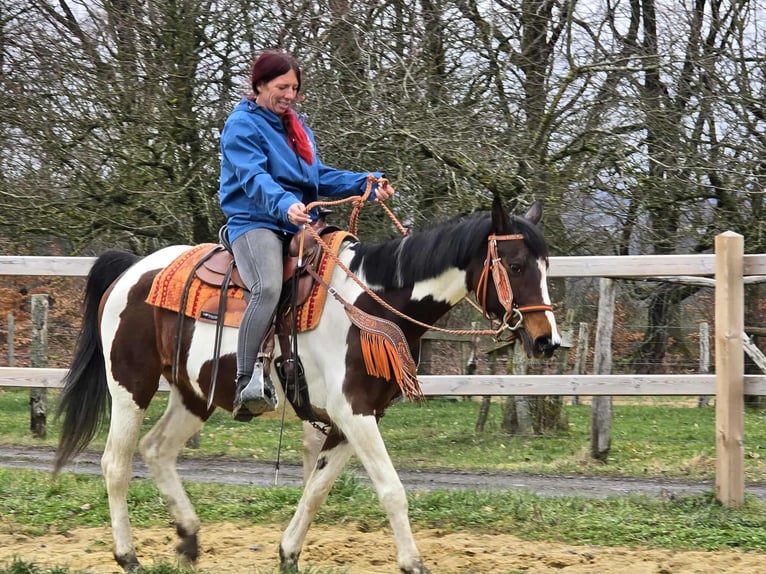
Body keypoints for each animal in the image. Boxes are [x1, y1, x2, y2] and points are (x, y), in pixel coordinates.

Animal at [53, 196, 560, 574]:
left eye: (546, 266)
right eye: (516, 265)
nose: (546, 341)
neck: (369, 305)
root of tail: (131, 270)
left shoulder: (353, 419)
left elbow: (317, 488)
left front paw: (288, 553)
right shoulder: (354, 413)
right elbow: (391, 489)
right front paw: (413, 563)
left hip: (195, 394)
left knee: (157, 450)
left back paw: (189, 539)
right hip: (130, 386)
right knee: (116, 463)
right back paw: (128, 556)